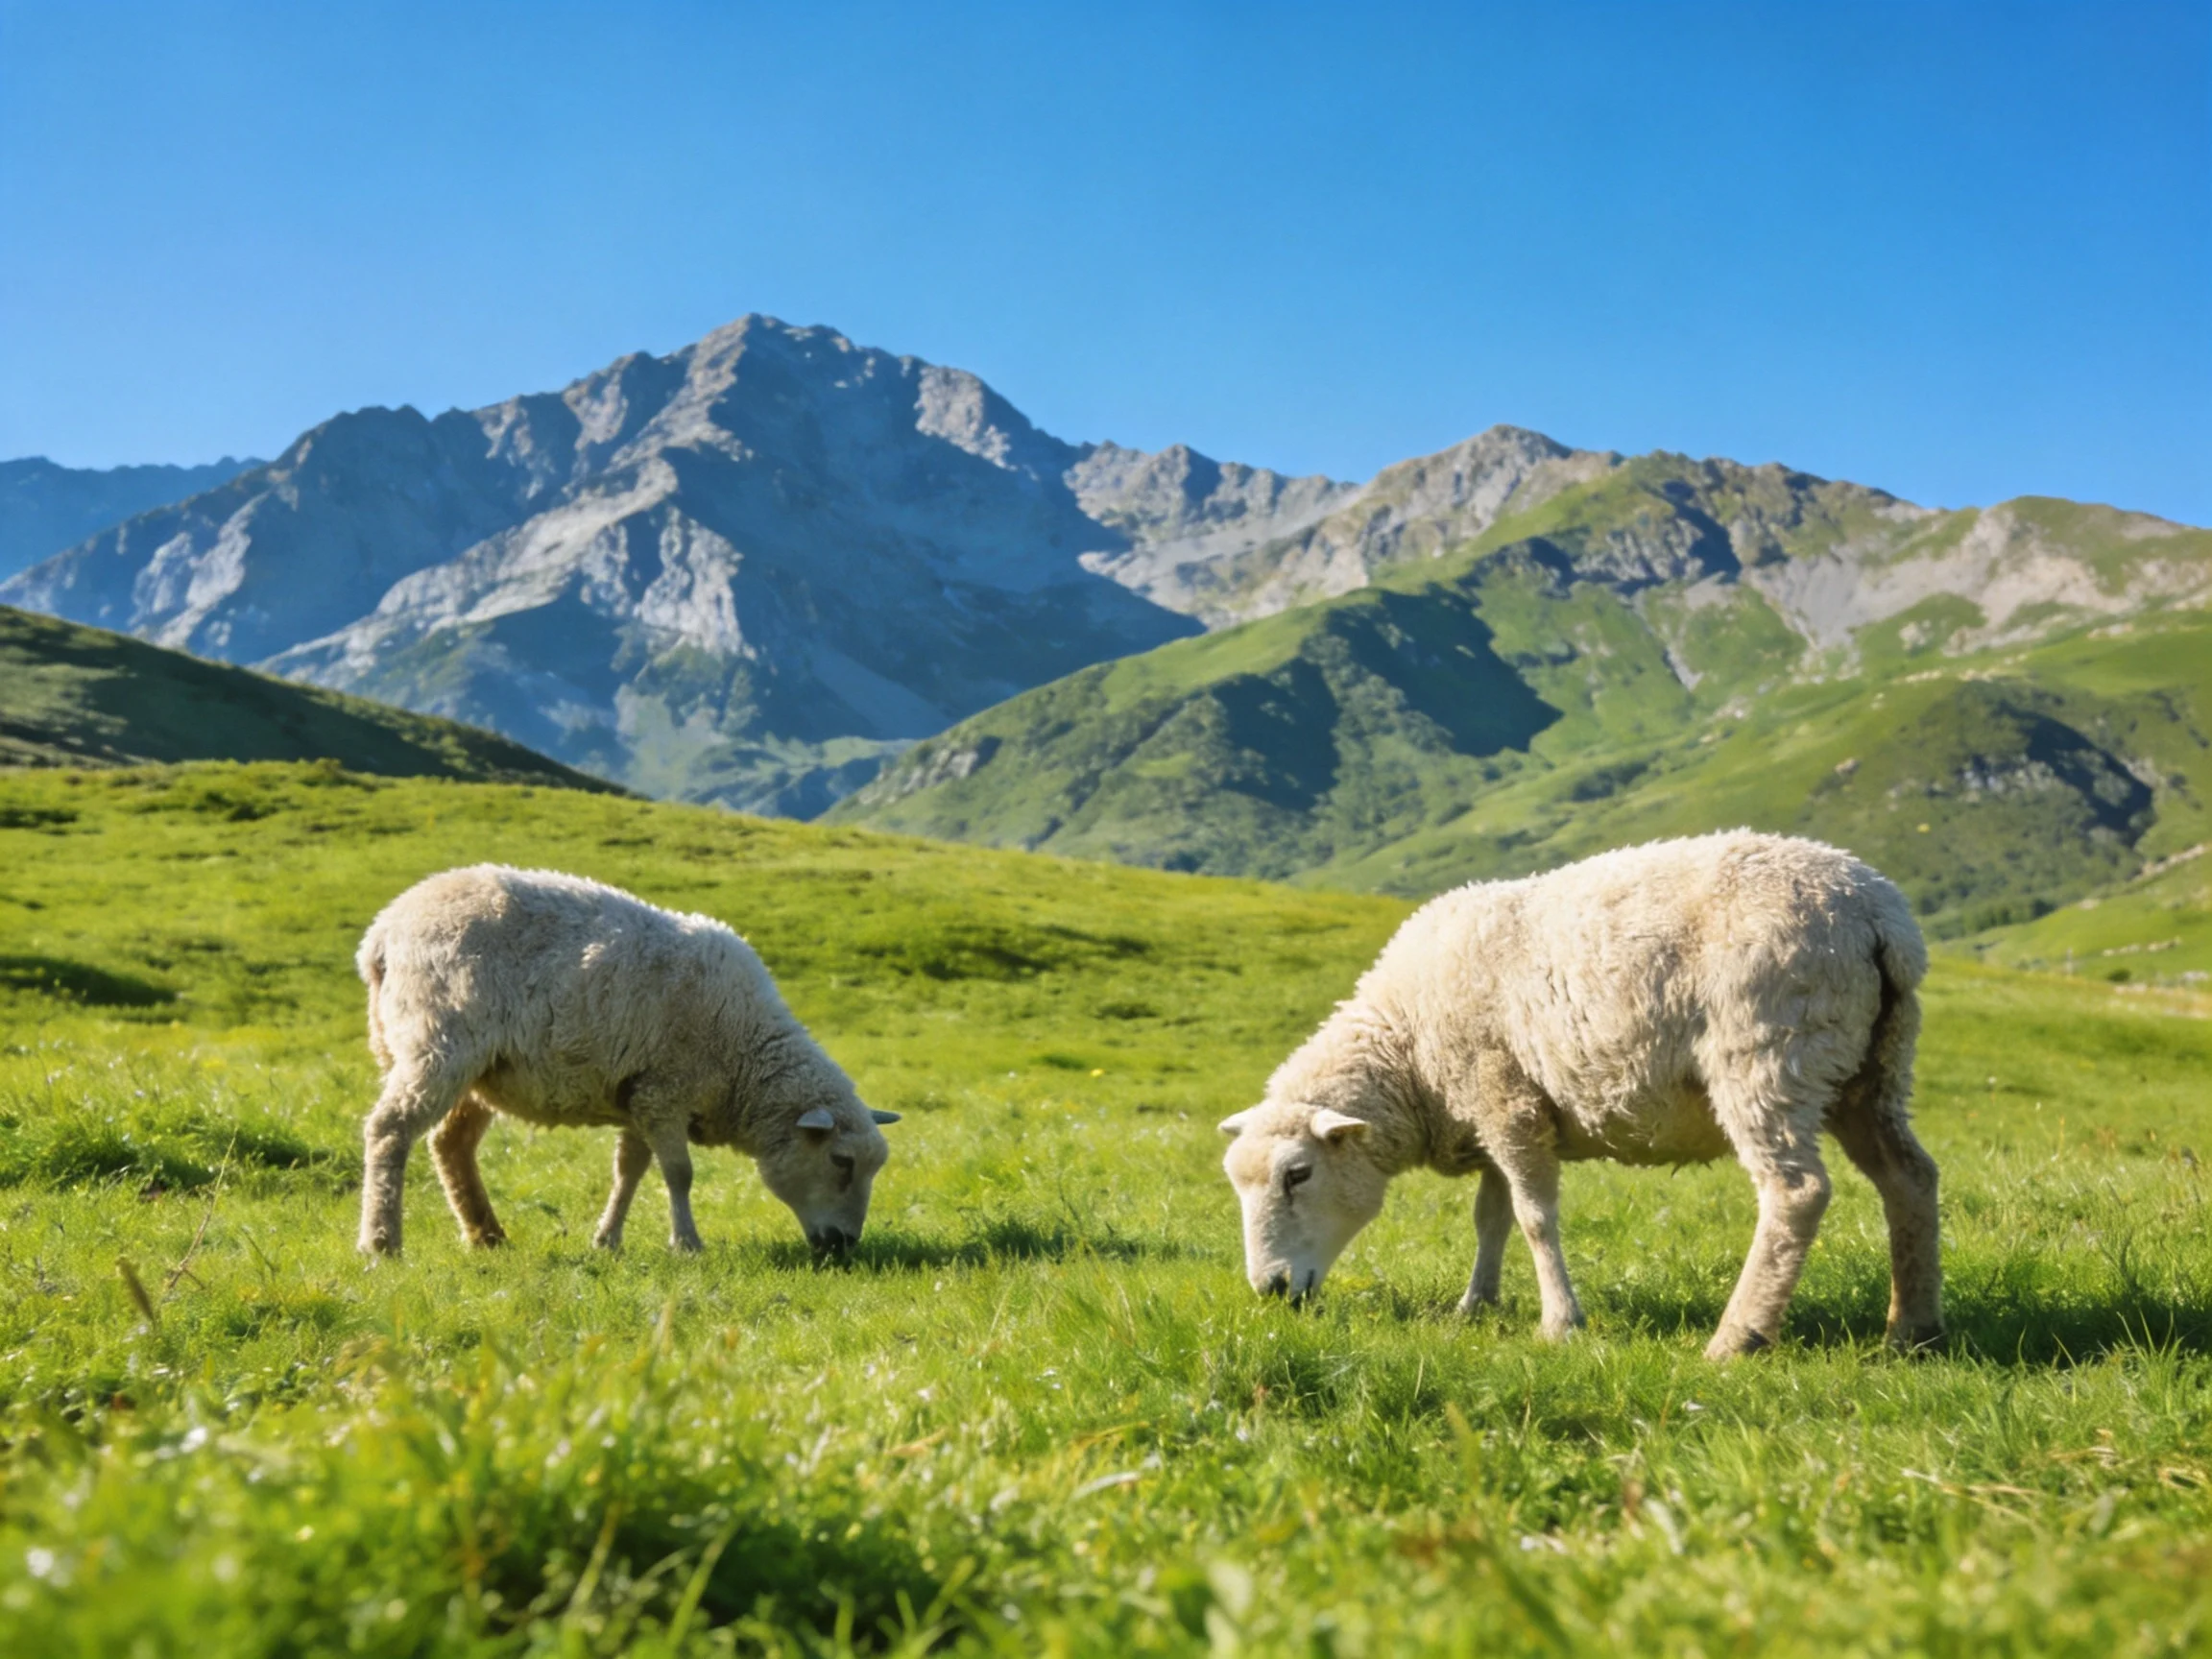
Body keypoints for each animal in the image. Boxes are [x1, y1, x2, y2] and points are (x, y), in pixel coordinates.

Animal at [354, 865, 898, 1257]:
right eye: (841, 1161)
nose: (845, 1246)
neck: (742, 1049)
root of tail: (382, 933)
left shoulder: (641, 1092)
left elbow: (630, 1171)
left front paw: (607, 1240)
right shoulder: (666, 1088)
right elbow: (679, 1173)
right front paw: (687, 1244)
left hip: (471, 1066)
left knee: (450, 1144)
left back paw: (486, 1235)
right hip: (437, 1042)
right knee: (389, 1131)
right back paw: (381, 1242)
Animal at [1219, 830, 1941, 1358]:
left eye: (1298, 1174)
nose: (1270, 1290)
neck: (1408, 1054)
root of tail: (1876, 914)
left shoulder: (1503, 1097)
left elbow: (1535, 1218)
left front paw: (1560, 1323)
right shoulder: (1496, 1109)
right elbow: (1492, 1217)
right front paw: (1476, 1304)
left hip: (1767, 1050)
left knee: (1797, 1192)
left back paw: (1738, 1338)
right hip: (1871, 1067)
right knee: (1909, 1177)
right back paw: (1913, 1329)